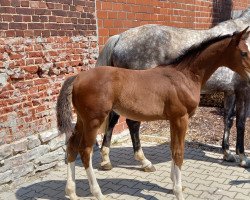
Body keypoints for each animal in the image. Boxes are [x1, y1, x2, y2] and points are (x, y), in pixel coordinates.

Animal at [56, 28, 250, 200]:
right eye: (243, 53)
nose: (249, 77)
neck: (185, 76)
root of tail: (78, 78)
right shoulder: (181, 118)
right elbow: (179, 152)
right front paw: (178, 191)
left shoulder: (173, 119)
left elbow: (172, 148)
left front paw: (175, 184)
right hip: (94, 121)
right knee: (85, 151)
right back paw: (98, 193)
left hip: (82, 120)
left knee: (72, 146)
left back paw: (71, 192)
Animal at [96, 8, 250, 170]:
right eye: (243, 53)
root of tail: (120, 38)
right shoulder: (244, 90)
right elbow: (241, 123)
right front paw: (243, 157)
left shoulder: (230, 91)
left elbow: (228, 120)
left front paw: (227, 153)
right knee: (133, 124)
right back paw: (144, 162)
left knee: (113, 119)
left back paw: (106, 160)